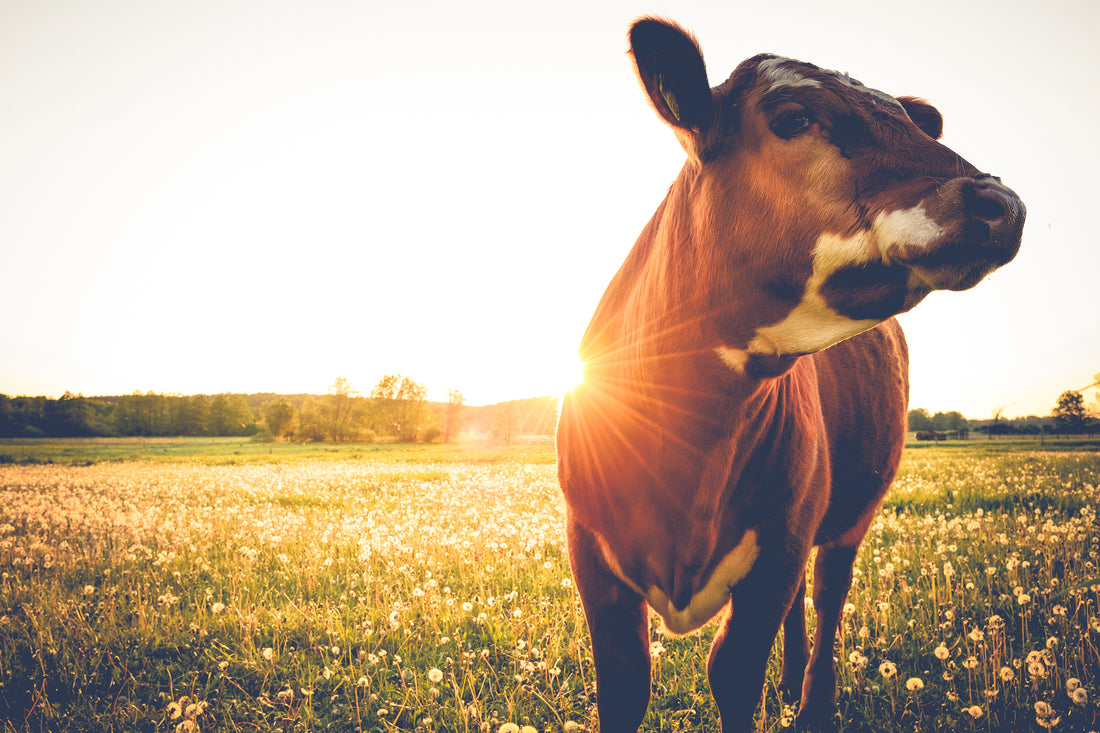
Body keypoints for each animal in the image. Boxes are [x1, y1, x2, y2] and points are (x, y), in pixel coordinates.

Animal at [556, 17, 1024, 733]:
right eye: (794, 118)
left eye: (907, 121)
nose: (1002, 204)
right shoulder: (590, 547)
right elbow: (626, 684)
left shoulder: (779, 545)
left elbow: (733, 670)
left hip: (849, 512)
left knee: (828, 595)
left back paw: (811, 702)